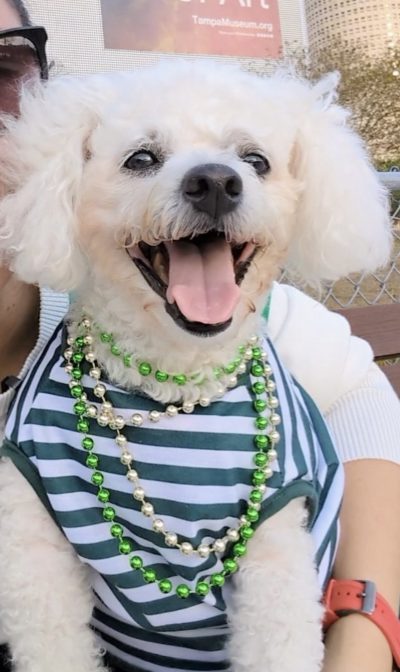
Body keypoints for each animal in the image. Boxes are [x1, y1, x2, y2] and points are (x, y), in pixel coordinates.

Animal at [0, 61, 390, 672]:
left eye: (256, 160)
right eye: (141, 158)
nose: (215, 183)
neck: (171, 386)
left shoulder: (276, 547)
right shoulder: (33, 537)